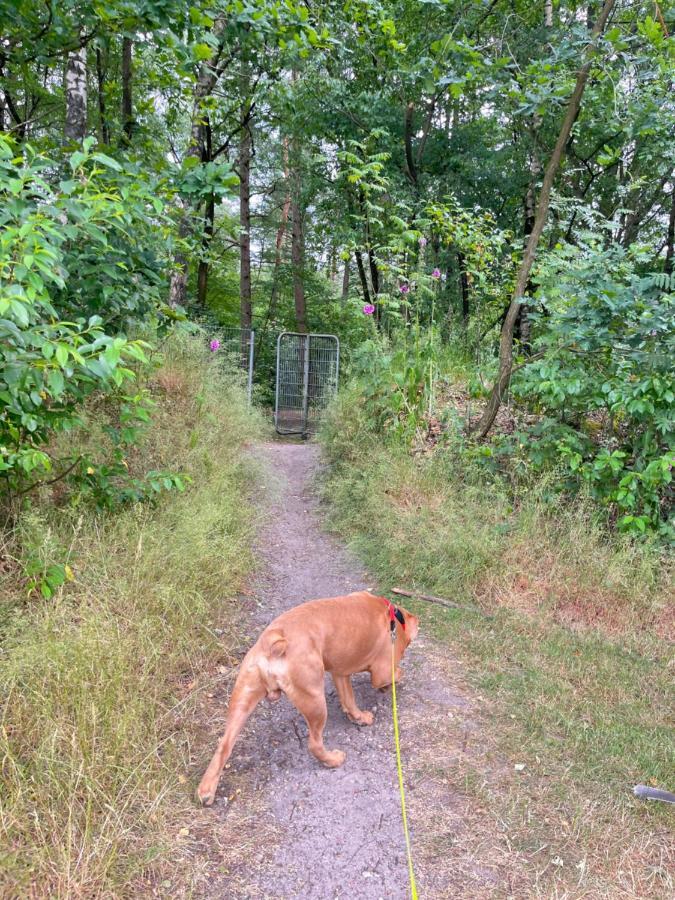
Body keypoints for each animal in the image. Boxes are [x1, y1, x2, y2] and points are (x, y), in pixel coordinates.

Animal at [197, 588, 418, 804]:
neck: (391, 615)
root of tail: (274, 641)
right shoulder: (381, 672)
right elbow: (397, 674)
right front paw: (388, 687)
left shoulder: (340, 673)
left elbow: (349, 700)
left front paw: (359, 718)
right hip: (315, 701)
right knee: (314, 744)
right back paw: (333, 760)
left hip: (243, 700)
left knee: (223, 747)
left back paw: (206, 792)